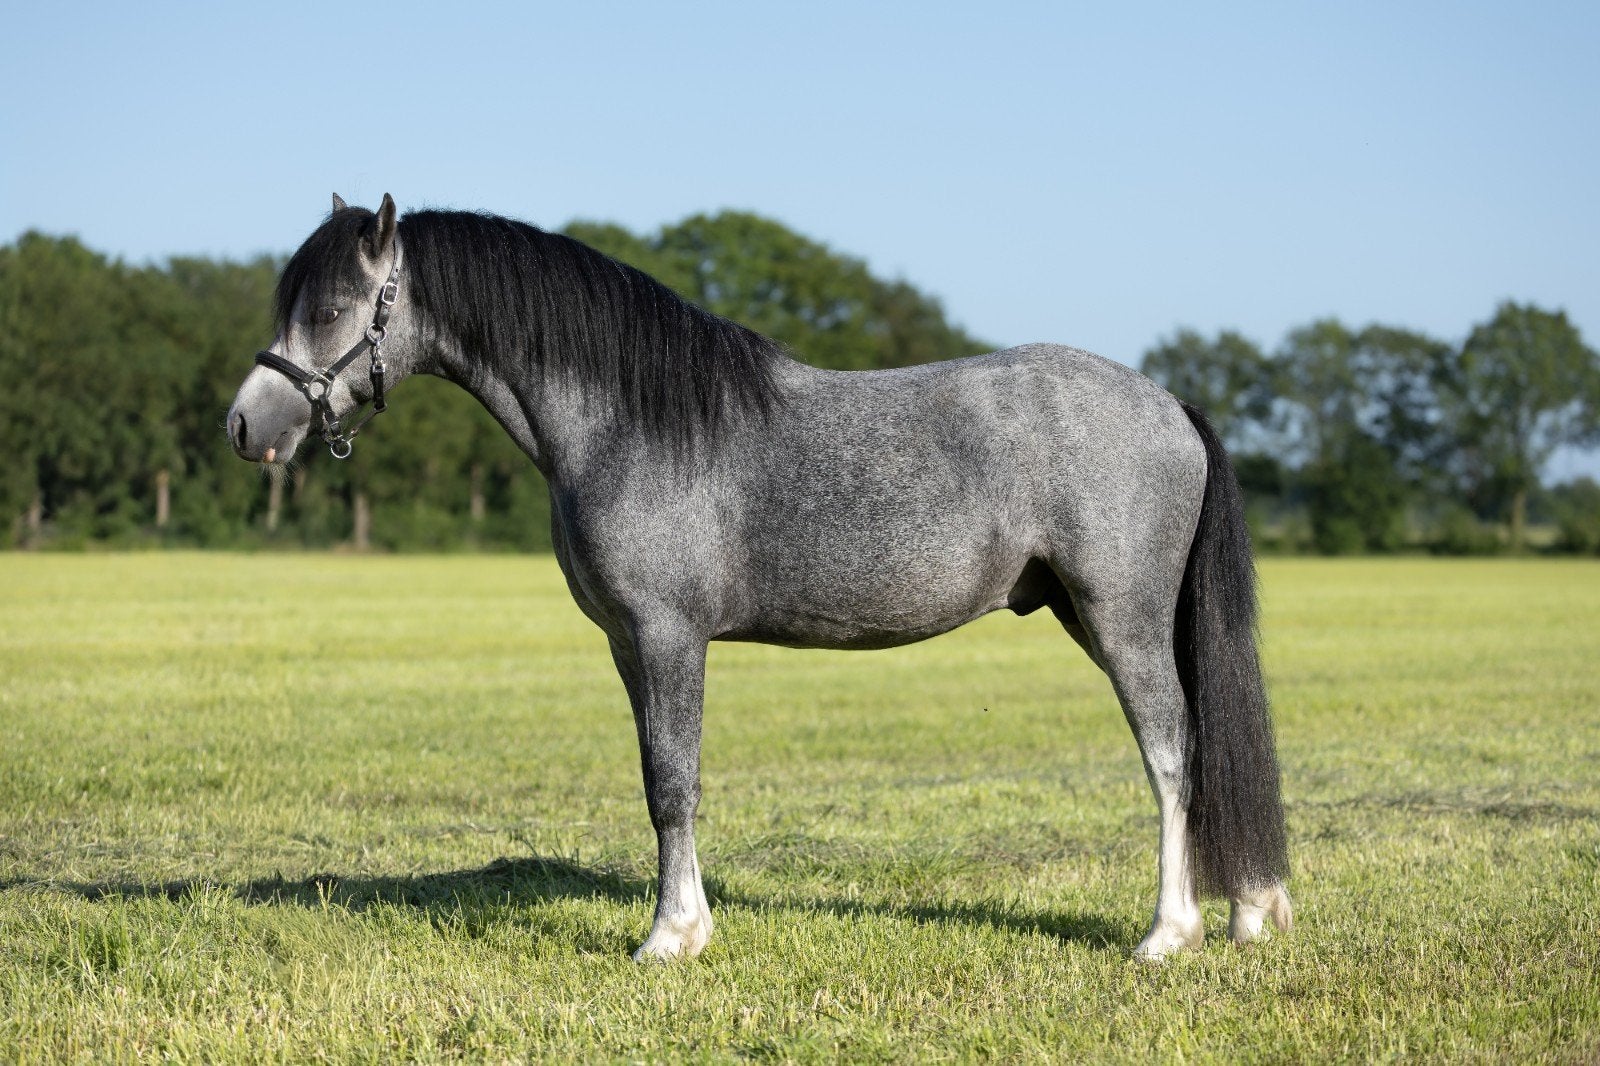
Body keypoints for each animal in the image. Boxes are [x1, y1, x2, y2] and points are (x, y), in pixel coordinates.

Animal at [225, 193, 1291, 961]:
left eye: (330, 309)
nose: (245, 426)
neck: (630, 422)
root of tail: (1169, 403)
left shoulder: (668, 635)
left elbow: (673, 782)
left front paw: (669, 939)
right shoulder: (628, 646)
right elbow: (658, 777)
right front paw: (688, 923)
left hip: (1122, 619)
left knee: (1173, 754)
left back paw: (1169, 935)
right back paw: (1248, 912)